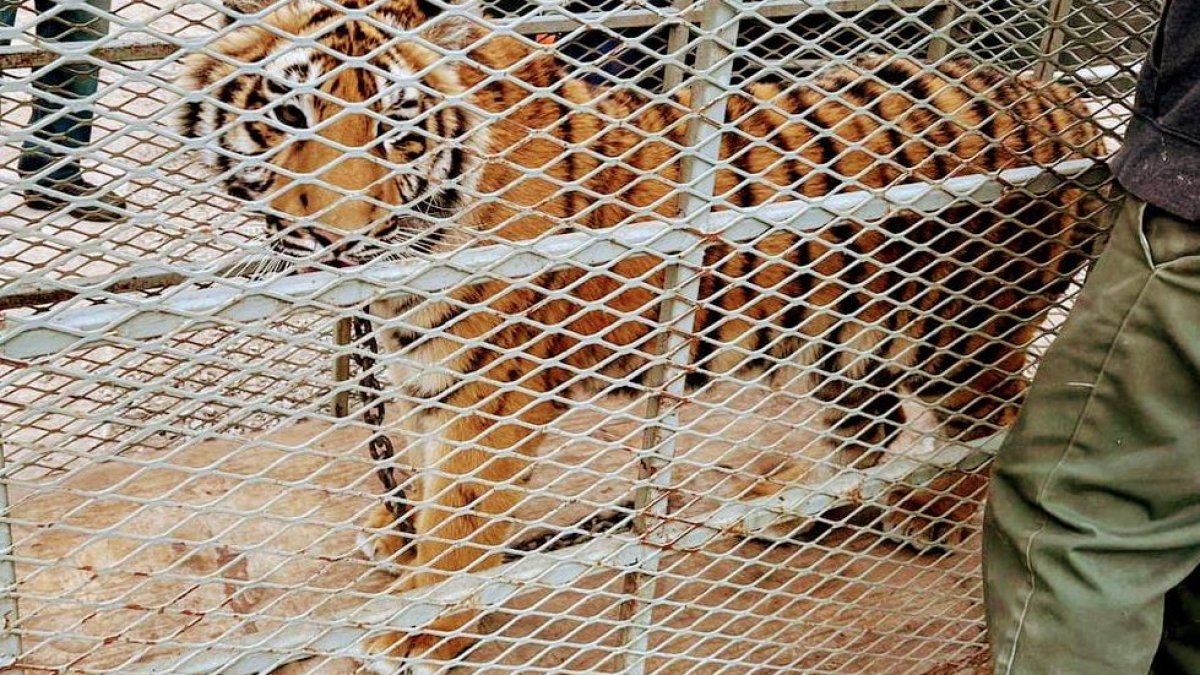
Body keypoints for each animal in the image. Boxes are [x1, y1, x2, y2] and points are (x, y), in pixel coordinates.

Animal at [179, 0, 1106, 670]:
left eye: (397, 130)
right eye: (288, 113)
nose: (335, 240)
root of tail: (1067, 98)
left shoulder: (495, 394)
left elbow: (462, 515)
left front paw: (418, 623)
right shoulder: (431, 371)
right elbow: (417, 474)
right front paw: (394, 540)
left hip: (959, 333)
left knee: (993, 422)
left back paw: (929, 515)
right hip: (849, 331)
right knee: (868, 428)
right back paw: (786, 511)